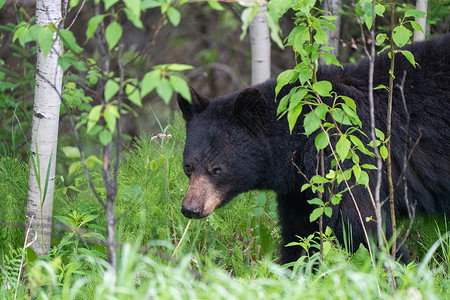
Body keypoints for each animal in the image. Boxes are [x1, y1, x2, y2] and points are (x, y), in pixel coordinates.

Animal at [176, 34, 450, 264]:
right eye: (188, 167)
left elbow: (361, 227)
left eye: (217, 170)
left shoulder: (345, 161)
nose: (190, 209)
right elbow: (300, 236)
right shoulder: (297, 191)